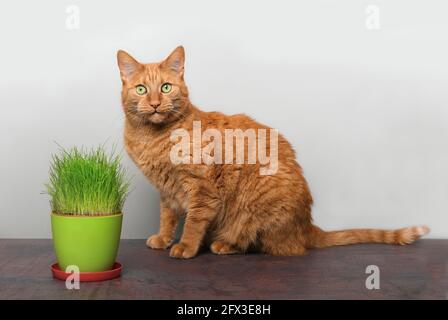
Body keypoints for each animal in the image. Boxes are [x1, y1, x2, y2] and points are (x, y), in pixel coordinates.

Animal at [117, 46, 428, 258]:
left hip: (255, 208)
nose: (155, 103)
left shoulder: (202, 189)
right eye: (142, 89)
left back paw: (224, 244)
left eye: (166, 87)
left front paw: (186, 246)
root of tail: (306, 225)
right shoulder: (167, 191)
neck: (152, 137)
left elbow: (193, 221)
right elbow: (167, 218)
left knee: (262, 243)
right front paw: (163, 238)